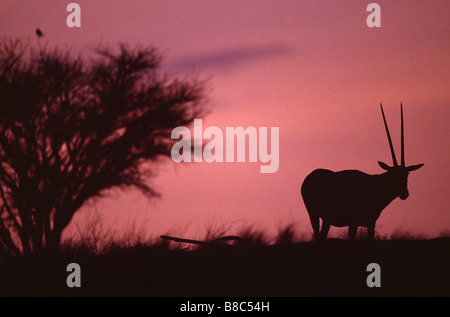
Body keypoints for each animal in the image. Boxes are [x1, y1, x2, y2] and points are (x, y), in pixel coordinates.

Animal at [300, 103, 424, 239]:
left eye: (407, 173)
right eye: (393, 174)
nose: (404, 193)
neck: (375, 184)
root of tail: (311, 180)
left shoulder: (366, 223)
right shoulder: (359, 222)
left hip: (314, 215)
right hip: (327, 218)